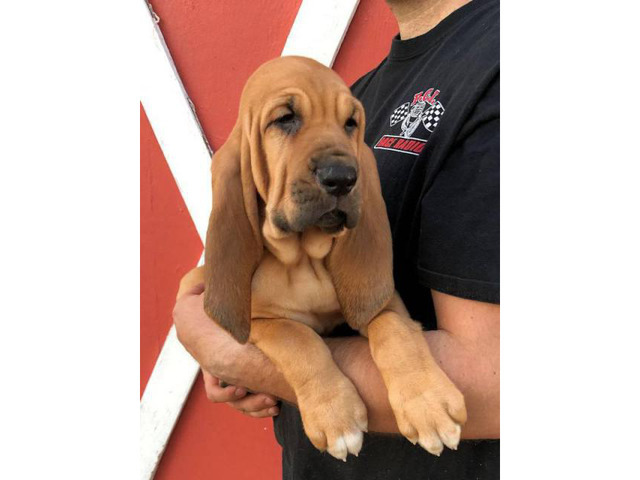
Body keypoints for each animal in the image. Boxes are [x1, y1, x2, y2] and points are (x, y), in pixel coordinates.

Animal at [178, 56, 468, 462]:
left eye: (350, 123)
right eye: (285, 118)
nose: (343, 178)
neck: (303, 258)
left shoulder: (380, 300)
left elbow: (393, 329)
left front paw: (427, 401)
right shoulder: (259, 321)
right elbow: (297, 338)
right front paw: (336, 416)